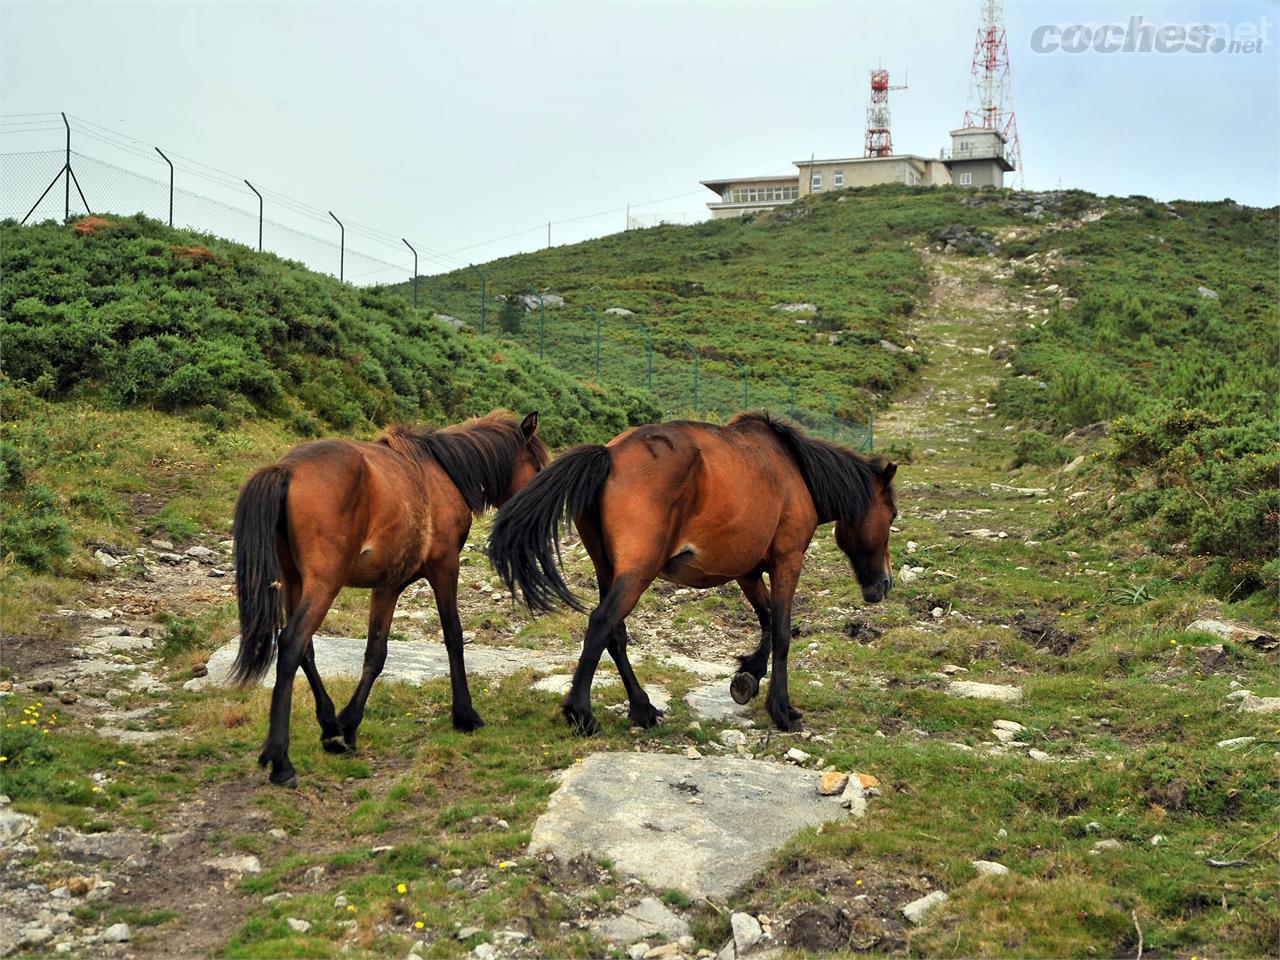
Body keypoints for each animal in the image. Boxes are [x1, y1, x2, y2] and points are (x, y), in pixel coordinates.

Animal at [232, 409, 547, 783]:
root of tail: (287, 469)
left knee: (304, 649)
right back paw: (281, 759)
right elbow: (453, 638)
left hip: (294, 582)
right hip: (324, 583)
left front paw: (348, 726)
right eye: (537, 465)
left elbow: (376, 653)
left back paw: (329, 724)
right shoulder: (444, 568)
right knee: (293, 643)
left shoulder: (387, 585)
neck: (445, 473)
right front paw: (465, 715)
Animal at [483, 412, 896, 737]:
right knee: (602, 623)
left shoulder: (746, 570)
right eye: (891, 514)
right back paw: (582, 714)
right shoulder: (787, 561)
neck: (795, 471)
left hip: (608, 569)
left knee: (615, 633)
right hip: (638, 571)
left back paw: (642, 708)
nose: (884, 585)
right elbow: (781, 631)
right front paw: (782, 709)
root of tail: (609, 456)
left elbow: (765, 620)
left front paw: (747, 677)